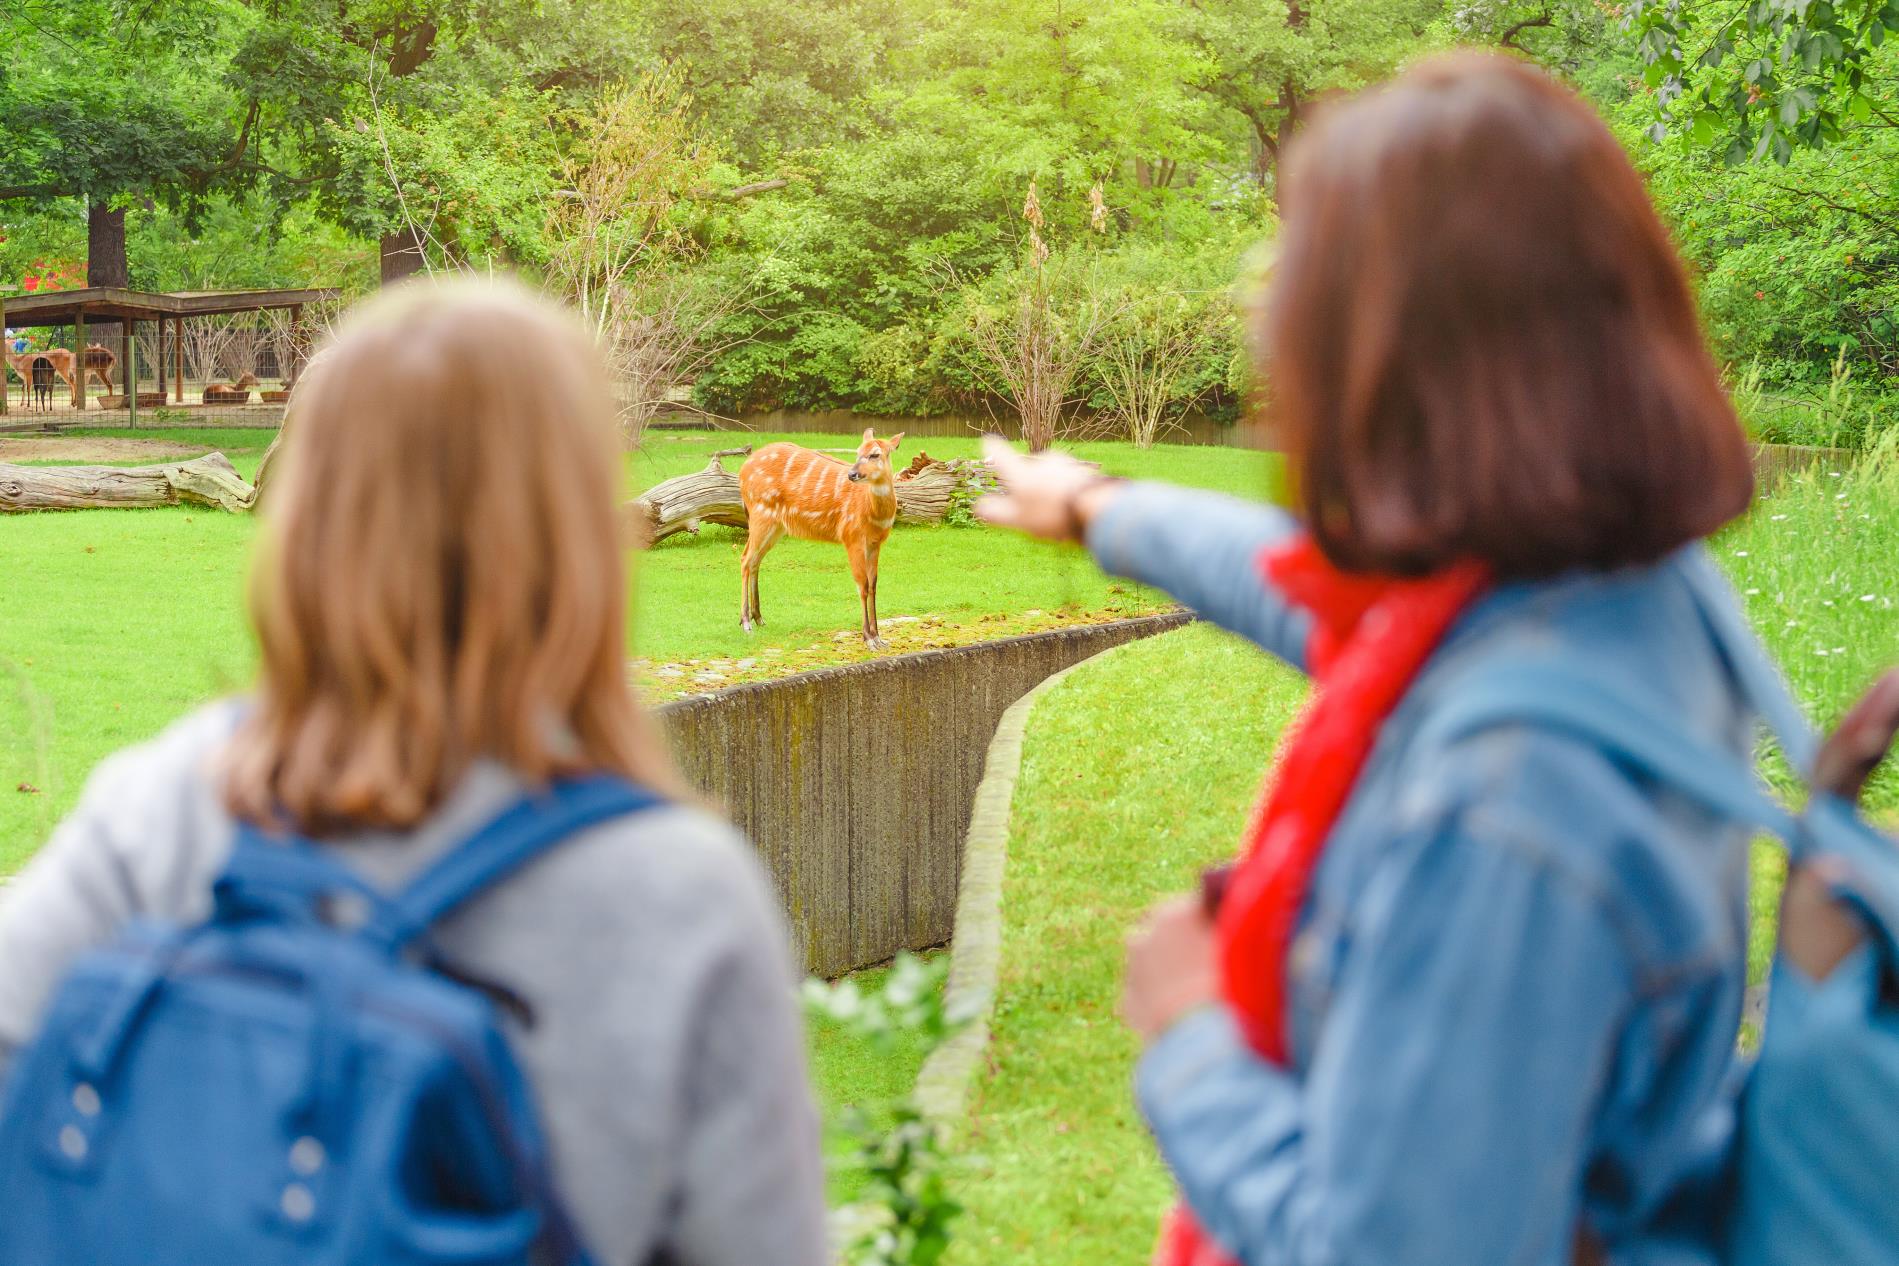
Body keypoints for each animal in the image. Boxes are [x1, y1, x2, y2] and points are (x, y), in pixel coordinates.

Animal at [740, 430, 903, 652]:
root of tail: (742, 471)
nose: (852, 474)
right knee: (745, 559)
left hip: (776, 526)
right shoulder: (852, 537)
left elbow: (873, 586)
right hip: (760, 514)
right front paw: (868, 639)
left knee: (755, 560)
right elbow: (862, 585)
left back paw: (758, 618)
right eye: (858, 451)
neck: (872, 513)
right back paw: (745, 623)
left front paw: (880, 638)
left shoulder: (875, 543)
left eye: (875, 454)